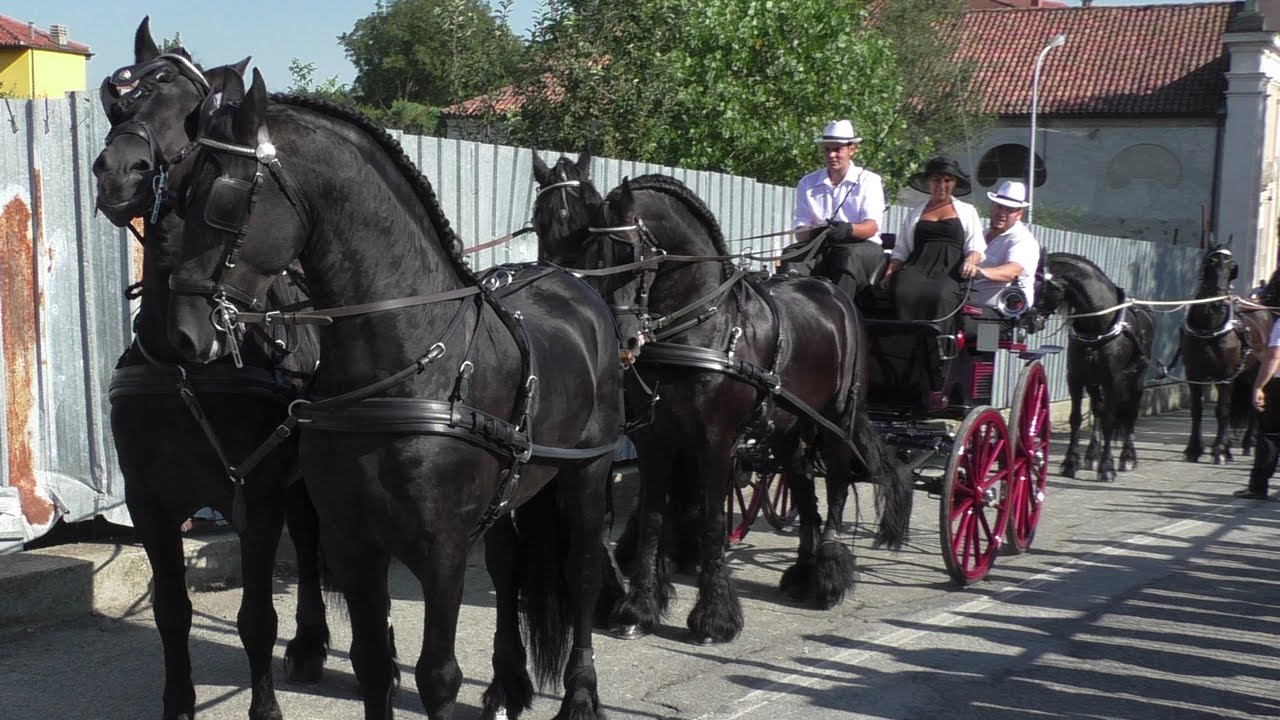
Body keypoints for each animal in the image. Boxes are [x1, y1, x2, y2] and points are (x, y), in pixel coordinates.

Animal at [92, 19, 329, 720]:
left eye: (193, 117)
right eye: (118, 102)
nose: (119, 172)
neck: (185, 367)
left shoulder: (255, 495)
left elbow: (255, 619)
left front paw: (265, 705)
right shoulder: (149, 502)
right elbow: (172, 612)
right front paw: (178, 702)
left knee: (312, 546)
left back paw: (313, 642)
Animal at [165, 68, 622, 720]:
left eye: (224, 199)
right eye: (178, 192)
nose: (182, 333)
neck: (410, 364)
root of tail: (577, 287)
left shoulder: (442, 551)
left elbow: (436, 675)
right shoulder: (353, 543)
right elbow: (372, 661)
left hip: (587, 474)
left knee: (581, 572)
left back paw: (580, 694)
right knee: (507, 571)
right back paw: (507, 684)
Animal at [533, 158, 912, 643]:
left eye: (628, 250)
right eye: (591, 247)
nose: (621, 336)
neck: (701, 325)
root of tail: (832, 293)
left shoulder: (714, 442)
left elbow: (713, 520)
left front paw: (714, 616)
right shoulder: (655, 440)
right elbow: (654, 514)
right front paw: (639, 607)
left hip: (836, 423)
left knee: (838, 486)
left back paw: (828, 578)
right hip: (786, 429)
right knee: (802, 483)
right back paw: (803, 573)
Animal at [1036, 252, 1155, 483]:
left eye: (1040, 284)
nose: (1026, 319)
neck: (1098, 325)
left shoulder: (1113, 380)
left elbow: (1110, 419)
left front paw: (1107, 468)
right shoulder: (1076, 378)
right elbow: (1076, 419)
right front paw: (1070, 463)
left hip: (1136, 378)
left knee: (1131, 412)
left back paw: (1127, 457)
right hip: (1094, 382)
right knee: (1097, 409)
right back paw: (1091, 455)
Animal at [1174, 242, 1269, 464]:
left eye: (1232, 267)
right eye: (1209, 263)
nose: (1217, 303)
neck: (1209, 328)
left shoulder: (1225, 376)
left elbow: (1222, 410)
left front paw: (1220, 450)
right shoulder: (1194, 375)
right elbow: (1197, 410)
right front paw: (1194, 449)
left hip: (1256, 371)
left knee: (1254, 405)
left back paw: (1248, 442)